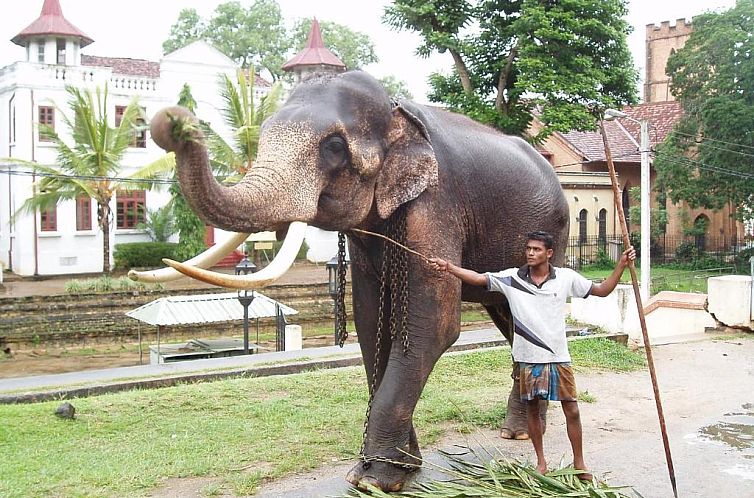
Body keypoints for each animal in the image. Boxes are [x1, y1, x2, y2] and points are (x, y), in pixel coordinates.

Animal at [135, 71, 568, 494]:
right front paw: (390, 470)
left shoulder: (436, 204)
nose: (172, 122)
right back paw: (516, 431)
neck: (396, 110)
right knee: (510, 322)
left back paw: (525, 432)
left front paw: (375, 479)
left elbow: (431, 328)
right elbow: (371, 323)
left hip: (554, 237)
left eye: (333, 147)